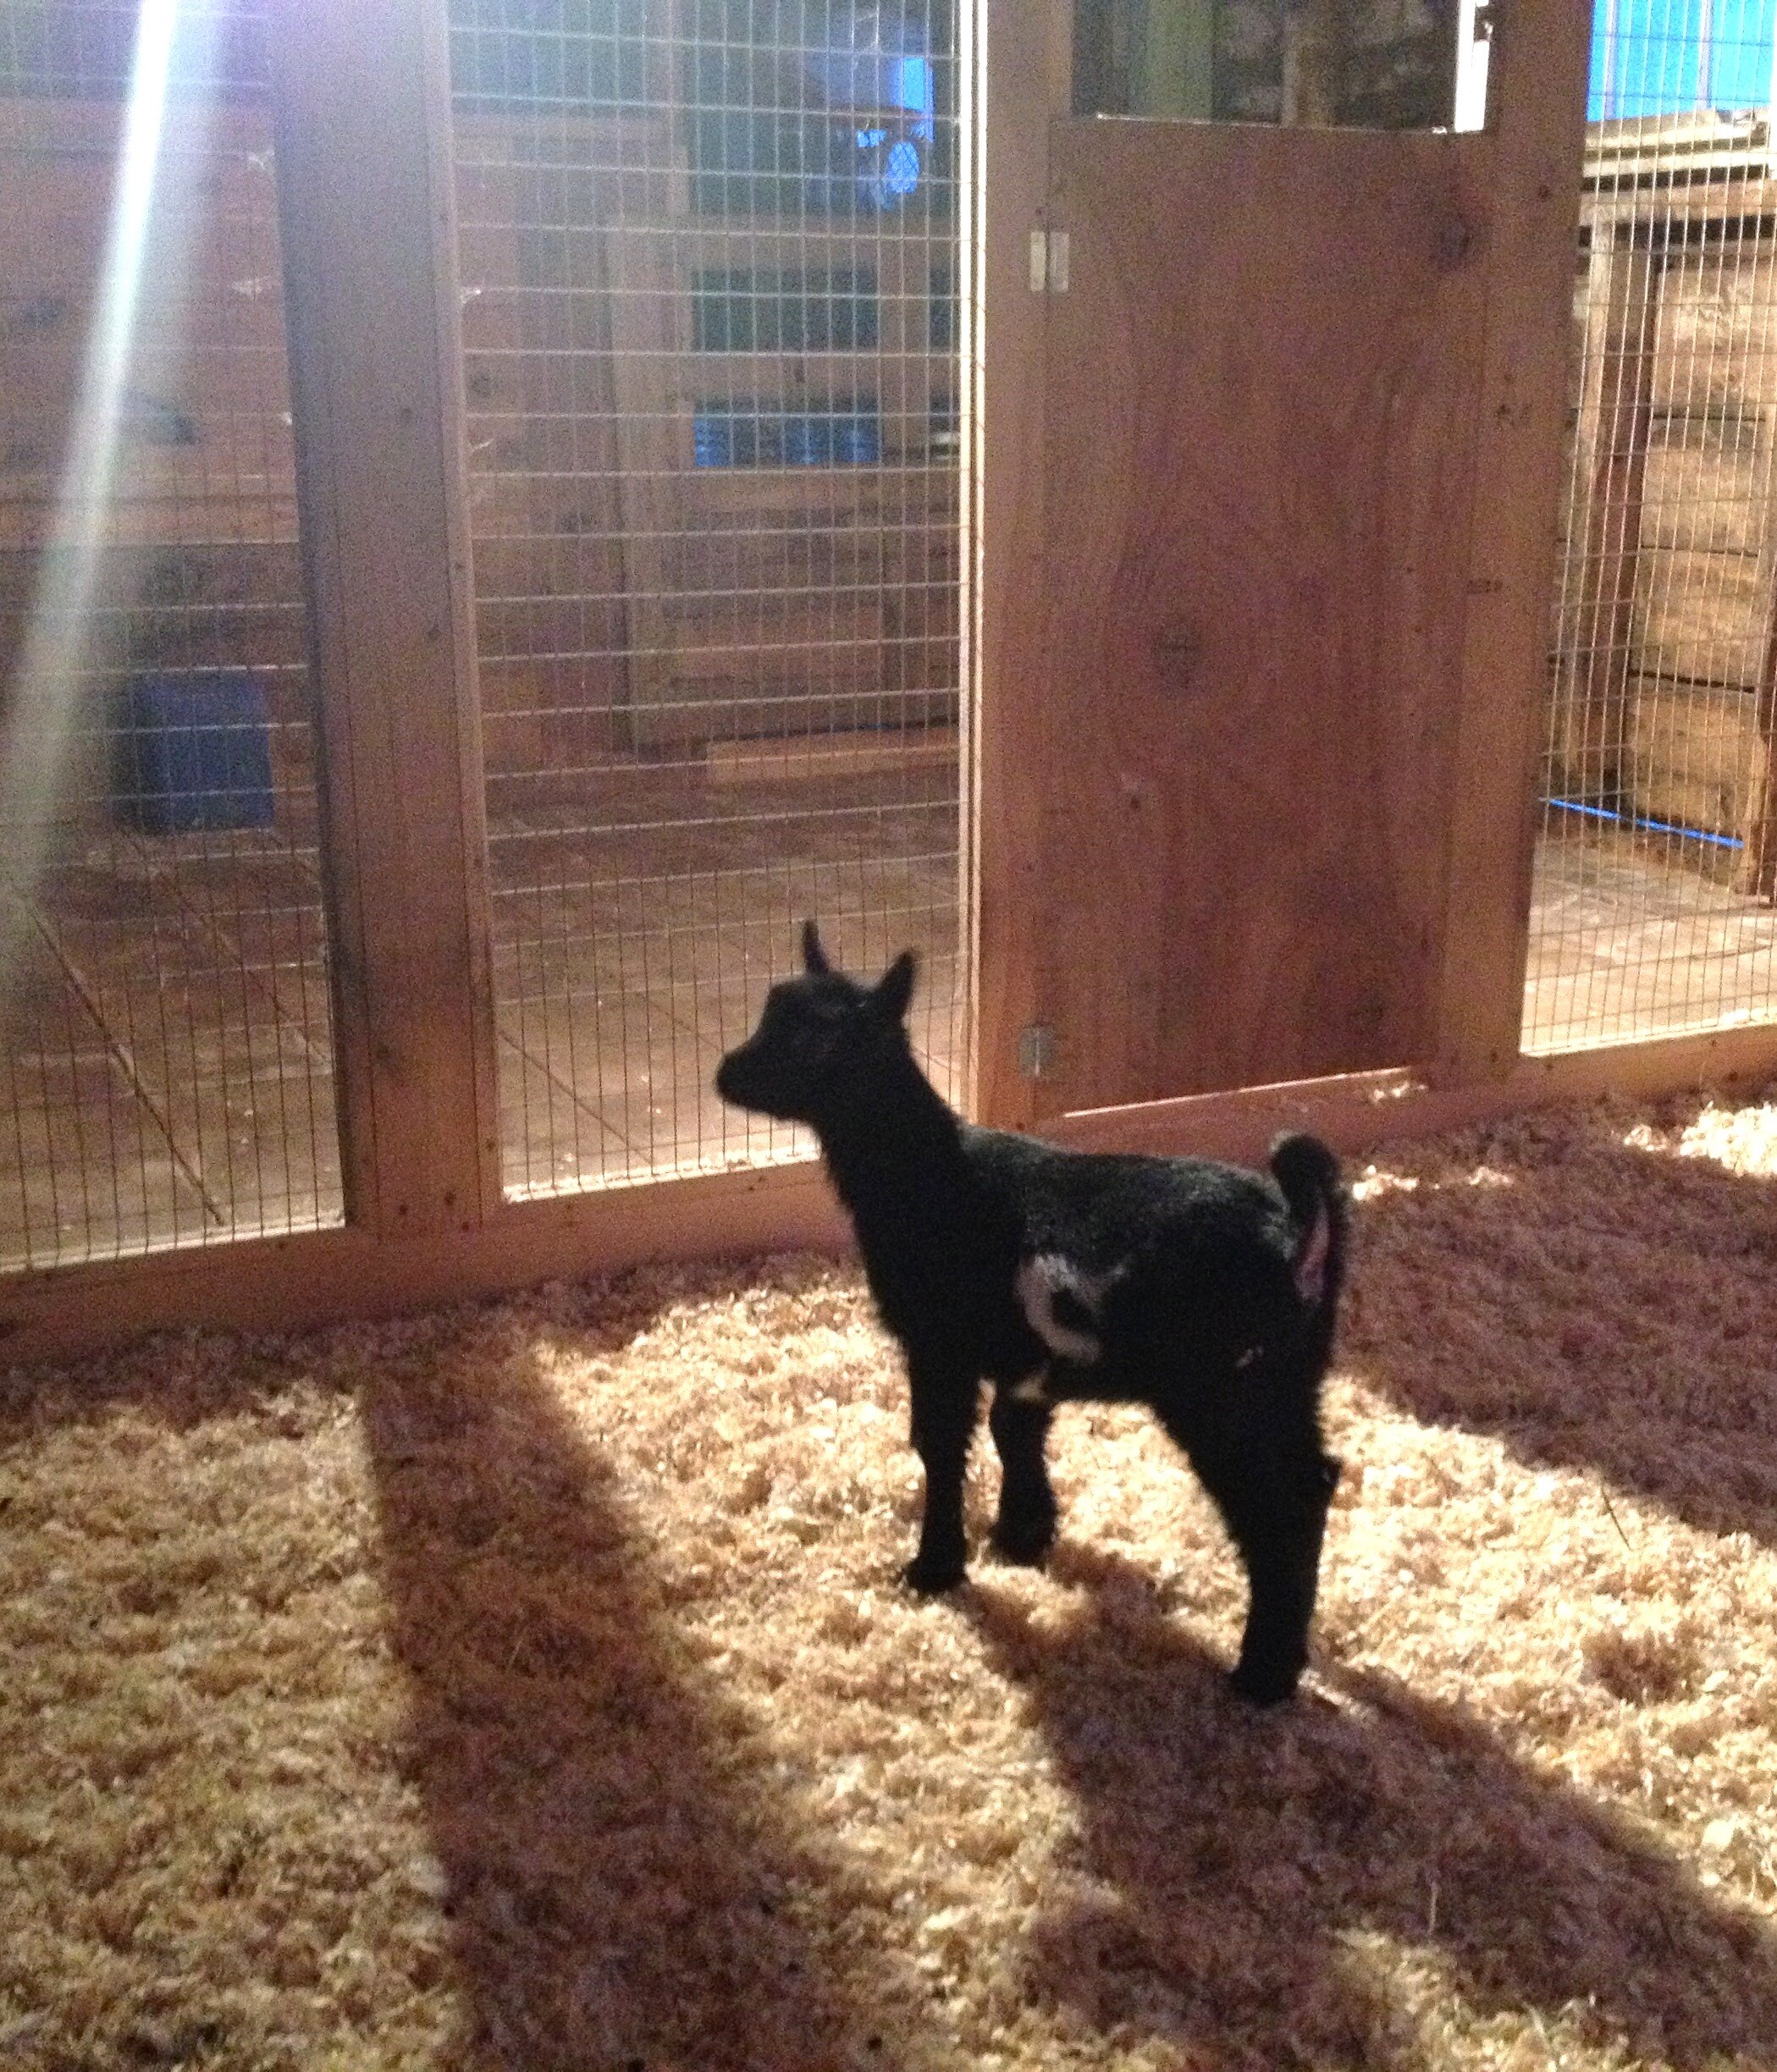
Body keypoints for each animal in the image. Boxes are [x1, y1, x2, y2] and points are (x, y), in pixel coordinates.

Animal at [713, 923, 1351, 1699]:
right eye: (768, 1013)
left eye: (816, 1043)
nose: (726, 1073)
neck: (924, 1171)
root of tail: (1295, 1231)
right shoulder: (1024, 1356)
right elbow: (1012, 1427)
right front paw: (1024, 1533)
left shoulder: (939, 1344)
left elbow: (938, 1444)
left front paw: (935, 1567)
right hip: (1288, 1381)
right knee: (1316, 1481)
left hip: (1227, 1393)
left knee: (1279, 1506)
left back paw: (1262, 1673)